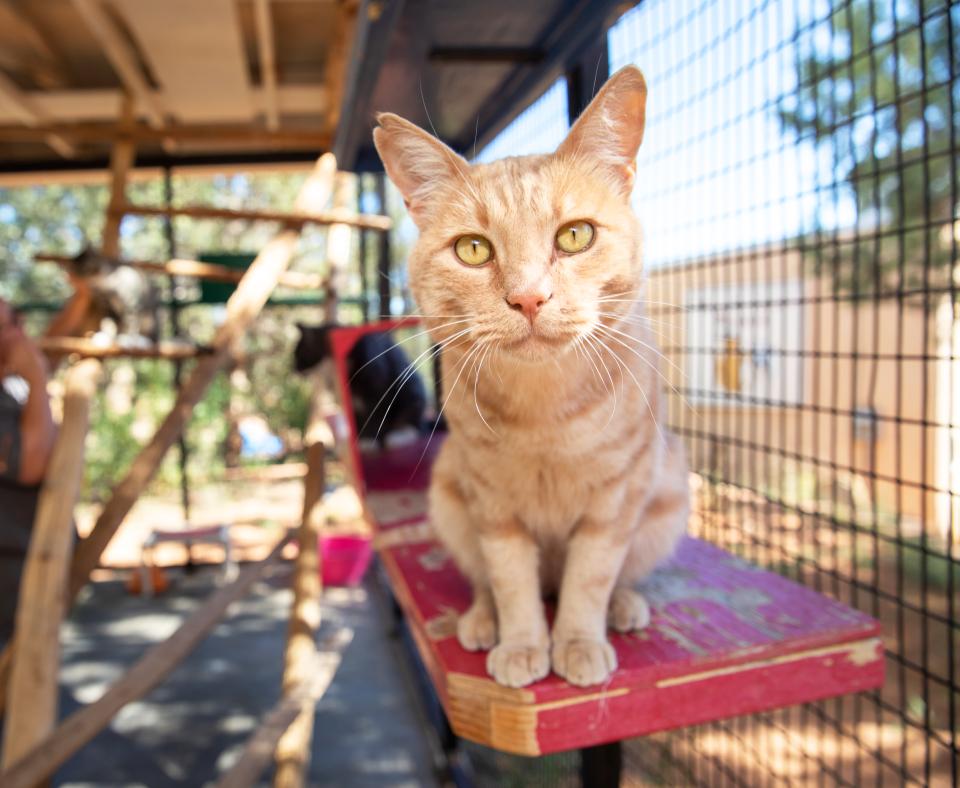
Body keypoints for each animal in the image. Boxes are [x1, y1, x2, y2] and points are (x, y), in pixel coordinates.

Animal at [292, 324, 428, 446]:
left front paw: (369, 441)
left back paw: (398, 435)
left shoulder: (377, 389)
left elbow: (375, 418)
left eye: (299, 356)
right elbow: (358, 421)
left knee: (414, 426)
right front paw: (359, 439)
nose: (293, 370)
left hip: (413, 394)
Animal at [370, 64, 688, 688]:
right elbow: (510, 581)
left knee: (620, 575)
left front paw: (579, 641)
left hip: (667, 496)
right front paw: (521, 644)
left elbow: (591, 578)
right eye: (473, 249)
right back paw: (481, 619)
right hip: (449, 496)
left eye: (575, 235)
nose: (528, 298)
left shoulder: (615, 500)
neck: (546, 414)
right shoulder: (493, 506)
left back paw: (624, 605)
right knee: (483, 581)